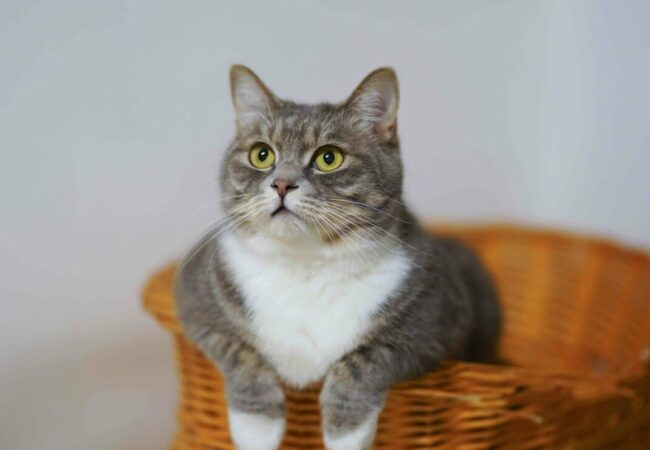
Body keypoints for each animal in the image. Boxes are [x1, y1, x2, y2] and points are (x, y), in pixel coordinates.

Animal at [175, 64, 498, 450]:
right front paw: (256, 428)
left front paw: (346, 433)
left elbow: (366, 358)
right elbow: (237, 349)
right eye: (261, 155)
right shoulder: (195, 295)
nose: (281, 184)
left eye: (328, 158)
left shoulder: (435, 318)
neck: (306, 265)